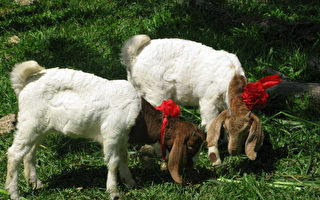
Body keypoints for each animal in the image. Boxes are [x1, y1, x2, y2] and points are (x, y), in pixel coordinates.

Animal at [5, 60, 141, 199]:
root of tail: (23, 84)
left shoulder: (123, 135)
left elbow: (124, 156)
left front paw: (130, 182)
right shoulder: (112, 133)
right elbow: (113, 162)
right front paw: (113, 191)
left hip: (40, 127)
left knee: (29, 152)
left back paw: (36, 183)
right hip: (29, 122)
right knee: (14, 153)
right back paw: (14, 193)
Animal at [121, 34, 264, 166]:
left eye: (246, 131)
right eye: (228, 128)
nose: (233, 151)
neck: (232, 77)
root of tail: (133, 57)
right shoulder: (208, 101)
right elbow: (209, 125)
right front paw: (216, 160)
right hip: (156, 95)